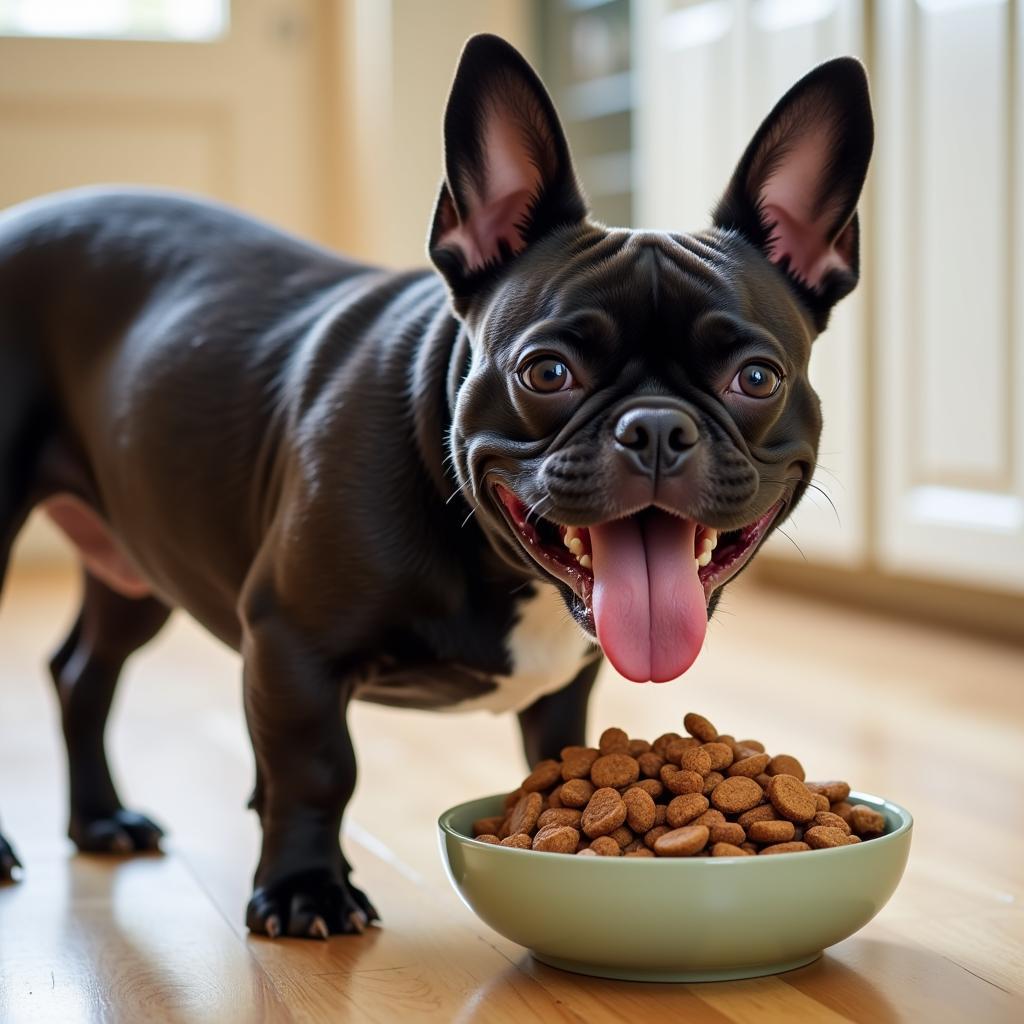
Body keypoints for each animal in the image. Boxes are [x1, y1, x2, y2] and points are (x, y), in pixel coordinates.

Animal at [0, 34, 872, 937]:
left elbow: (559, 754)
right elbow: (316, 768)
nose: (657, 428)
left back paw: (99, 819)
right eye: (546, 371)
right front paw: (306, 889)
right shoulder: (292, 644)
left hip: (138, 555)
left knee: (83, 673)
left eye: (757, 377)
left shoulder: (564, 692)